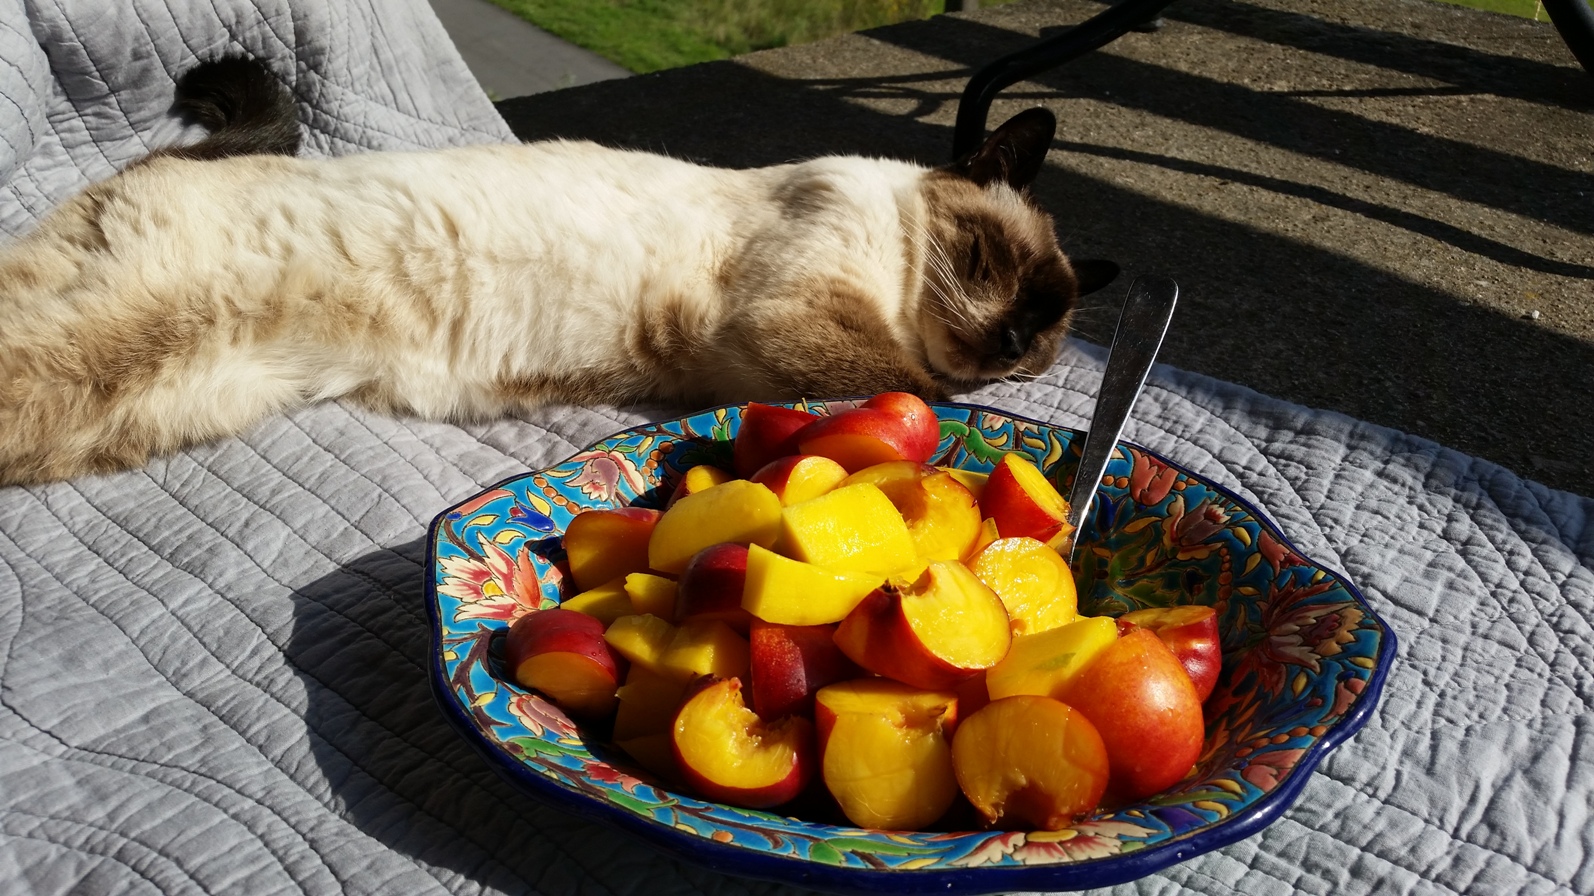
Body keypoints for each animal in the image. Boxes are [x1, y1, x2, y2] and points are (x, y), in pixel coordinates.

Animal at [0, 57, 1117, 486]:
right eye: (989, 263)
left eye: (1040, 345)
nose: (1010, 343)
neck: (895, 264)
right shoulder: (796, 316)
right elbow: (903, 376)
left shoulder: (751, 358)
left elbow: (903, 377)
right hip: (99, 341)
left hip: (132, 406)